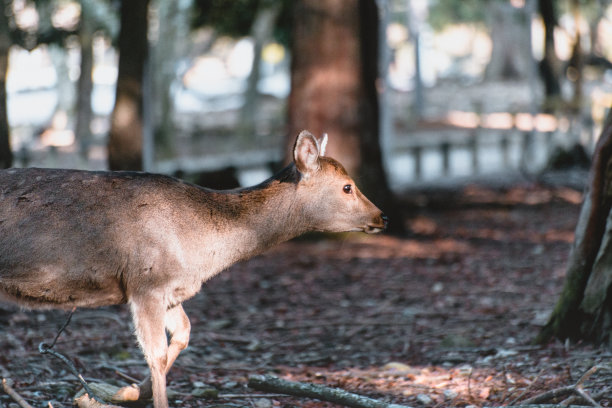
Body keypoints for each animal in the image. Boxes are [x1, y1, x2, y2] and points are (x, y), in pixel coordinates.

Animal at [1, 131, 388, 408]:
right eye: (347, 186)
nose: (382, 216)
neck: (202, 253)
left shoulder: (172, 289)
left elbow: (185, 333)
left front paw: (124, 391)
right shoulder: (146, 283)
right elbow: (156, 354)